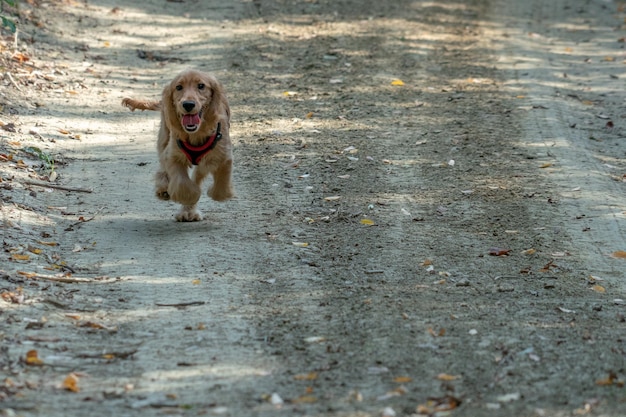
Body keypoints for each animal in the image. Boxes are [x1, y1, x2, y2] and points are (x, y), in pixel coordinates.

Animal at [121, 68, 232, 221]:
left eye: (201, 86)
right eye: (179, 87)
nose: (188, 104)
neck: (196, 133)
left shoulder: (223, 156)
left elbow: (221, 184)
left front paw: (214, 194)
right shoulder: (173, 154)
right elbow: (182, 183)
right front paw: (188, 198)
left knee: (196, 176)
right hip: (164, 136)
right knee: (163, 165)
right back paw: (164, 190)